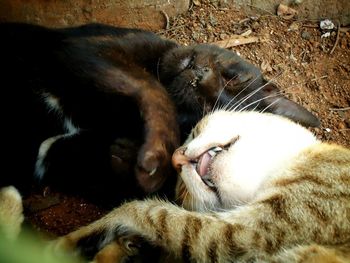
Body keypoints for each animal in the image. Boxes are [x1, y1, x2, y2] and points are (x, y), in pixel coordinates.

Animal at [0, 22, 320, 204]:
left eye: (202, 109)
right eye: (232, 77)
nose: (199, 76)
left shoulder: (56, 156)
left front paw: (134, 159)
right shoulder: (83, 48)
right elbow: (152, 87)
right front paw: (158, 153)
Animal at [54, 110, 350, 262]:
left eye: (195, 132)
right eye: (181, 189)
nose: (176, 158)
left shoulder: (240, 234)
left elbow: (144, 211)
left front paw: (71, 240)